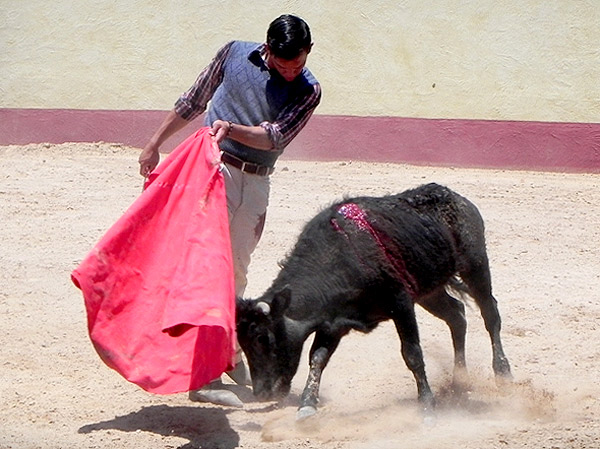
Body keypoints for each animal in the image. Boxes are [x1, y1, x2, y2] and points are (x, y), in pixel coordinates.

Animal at [234, 181, 510, 416]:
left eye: (262, 338)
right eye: (242, 342)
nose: (261, 393)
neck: (340, 257)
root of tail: (456, 197)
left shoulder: (401, 304)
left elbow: (412, 353)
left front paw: (426, 405)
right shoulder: (333, 321)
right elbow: (318, 358)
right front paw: (307, 405)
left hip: (475, 265)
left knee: (490, 313)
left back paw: (503, 372)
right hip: (429, 291)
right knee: (457, 315)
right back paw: (459, 381)